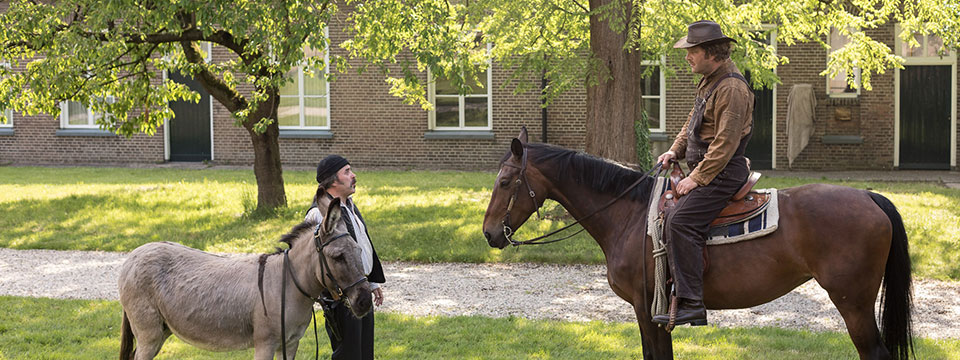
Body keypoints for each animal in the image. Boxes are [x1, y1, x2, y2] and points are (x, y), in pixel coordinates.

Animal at [484, 129, 912, 360]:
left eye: (505, 181)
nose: (489, 233)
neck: (628, 215)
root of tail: (869, 196)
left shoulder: (650, 308)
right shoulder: (649, 312)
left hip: (853, 303)